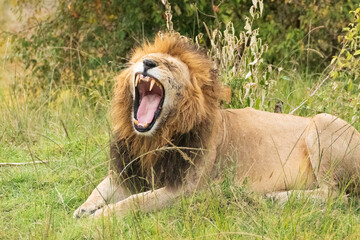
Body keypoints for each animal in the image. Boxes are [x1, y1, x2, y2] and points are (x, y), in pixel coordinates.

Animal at [73, 33, 360, 219]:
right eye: (143, 59)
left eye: (169, 65)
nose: (148, 63)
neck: (153, 139)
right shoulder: (129, 171)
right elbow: (101, 187)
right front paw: (84, 209)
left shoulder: (185, 189)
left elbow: (136, 202)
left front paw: (100, 218)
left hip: (323, 122)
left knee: (337, 196)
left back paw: (275, 197)